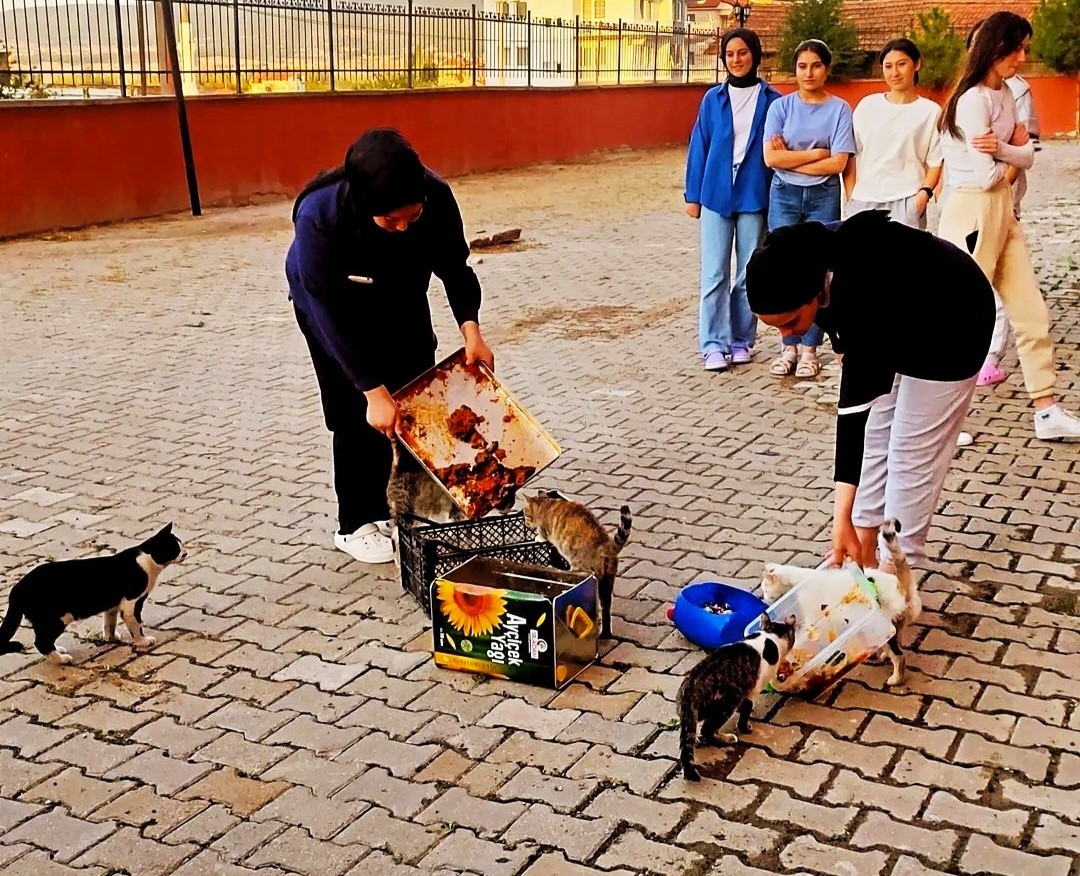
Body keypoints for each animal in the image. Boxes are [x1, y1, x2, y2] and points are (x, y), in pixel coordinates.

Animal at [0, 520, 185, 665]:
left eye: (180, 543)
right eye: (175, 548)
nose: (185, 553)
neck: (146, 560)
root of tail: (17, 588)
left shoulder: (113, 605)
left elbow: (109, 622)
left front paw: (111, 638)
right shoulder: (132, 603)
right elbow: (136, 625)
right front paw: (143, 641)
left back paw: (58, 650)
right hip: (56, 618)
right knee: (41, 642)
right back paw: (62, 659)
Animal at [678, 617, 799, 782]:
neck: (769, 637)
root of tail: (691, 688)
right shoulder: (752, 691)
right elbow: (745, 714)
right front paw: (746, 728)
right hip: (729, 700)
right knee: (707, 729)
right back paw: (726, 738)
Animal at [760, 516, 920, 686]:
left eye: (765, 590)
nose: (764, 598)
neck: (797, 581)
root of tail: (902, 588)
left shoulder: (811, 615)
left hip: (880, 627)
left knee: (899, 655)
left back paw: (895, 678)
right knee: (898, 639)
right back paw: (883, 654)